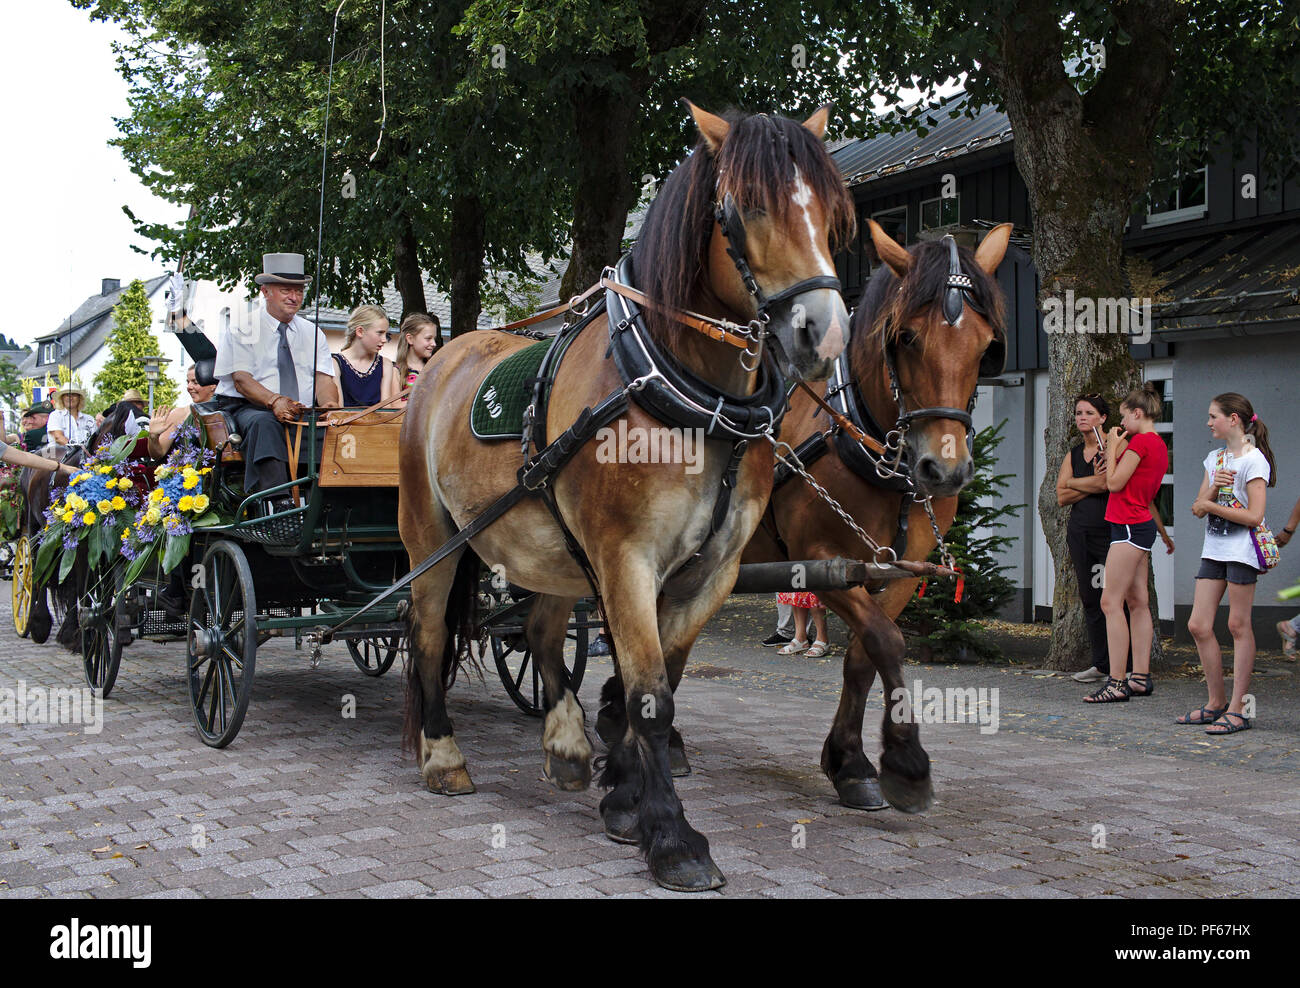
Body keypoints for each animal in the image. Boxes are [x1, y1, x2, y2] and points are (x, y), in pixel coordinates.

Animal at [400, 100, 857, 889]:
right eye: (746, 207)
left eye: (831, 211)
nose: (823, 335)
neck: (688, 400)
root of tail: (445, 355)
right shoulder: (626, 560)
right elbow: (649, 696)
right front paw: (672, 836)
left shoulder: (709, 572)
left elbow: (658, 680)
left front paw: (622, 797)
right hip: (433, 540)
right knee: (428, 634)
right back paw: (444, 755)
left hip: (546, 549)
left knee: (541, 634)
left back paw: (566, 746)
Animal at [598, 219, 1013, 816]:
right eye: (907, 337)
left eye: (984, 346)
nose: (945, 470)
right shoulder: (820, 560)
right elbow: (888, 641)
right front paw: (904, 763)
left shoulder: (897, 573)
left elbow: (865, 654)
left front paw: (850, 762)